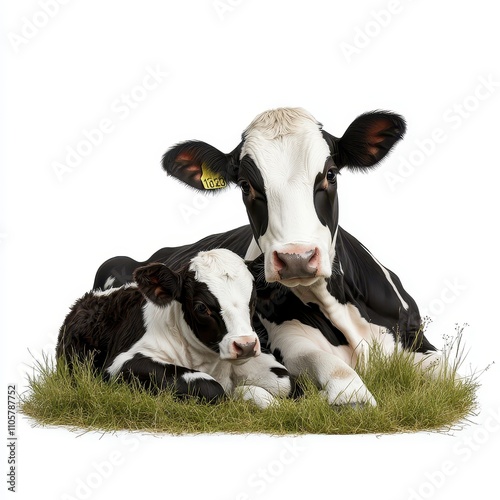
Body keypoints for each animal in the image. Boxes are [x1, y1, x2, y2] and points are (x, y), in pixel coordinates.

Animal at [57, 248, 292, 408]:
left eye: (252, 300)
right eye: (201, 306)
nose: (245, 345)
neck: (209, 363)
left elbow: (285, 382)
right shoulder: (119, 363)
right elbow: (212, 387)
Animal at [94, 106, 438, 406]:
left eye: (330, 175)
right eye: (246, 186)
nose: (296, 258)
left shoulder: (416, 338)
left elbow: (442, 368)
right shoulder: (284, 341)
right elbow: (329, 367)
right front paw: (350, 397)